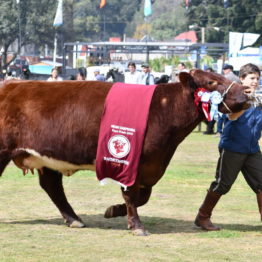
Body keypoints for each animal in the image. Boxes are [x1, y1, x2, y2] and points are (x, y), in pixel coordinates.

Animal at [0, 70, 250, 235]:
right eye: (211, 81)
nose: (246, 94)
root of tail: (9, 84)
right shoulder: (132, 162)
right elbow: (132, 194)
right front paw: (136, 226)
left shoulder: (149, 165)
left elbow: (142, 196)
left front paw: (114, 210)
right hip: (4, 150)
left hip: (47, 158)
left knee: (52, 186)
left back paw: (74, 219)